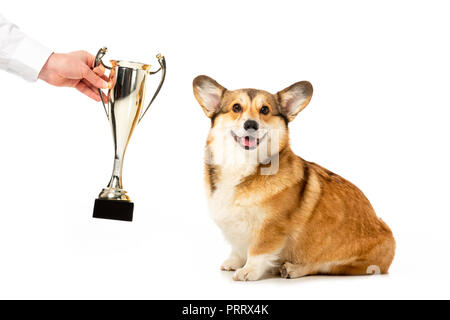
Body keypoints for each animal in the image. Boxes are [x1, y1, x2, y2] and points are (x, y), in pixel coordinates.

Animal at [192, 75, 396, 280]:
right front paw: (234, 262)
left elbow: (258, 251)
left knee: (320, 266)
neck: (242, 165)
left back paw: (292, 269)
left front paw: (248, 271)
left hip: (341, 262)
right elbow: (237, 248)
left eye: (265, 109)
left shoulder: (271, 228)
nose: (251, 124)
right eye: (236, 107)